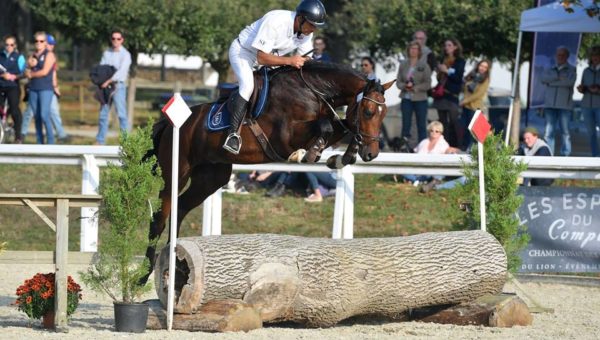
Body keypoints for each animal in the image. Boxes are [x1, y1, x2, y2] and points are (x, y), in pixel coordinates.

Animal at [141, 61, 394, 282]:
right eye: (369, 111)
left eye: (384, 114)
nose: (372, 154)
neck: (314, 91)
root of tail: (169, 124)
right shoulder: (285, 137)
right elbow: (326, 126)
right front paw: (306, 155)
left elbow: (344, 127)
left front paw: (342, 158)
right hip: (175, 172)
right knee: (160, 218)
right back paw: (144, 274)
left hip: (210, 177)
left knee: (181, 207)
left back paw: (175, 265)